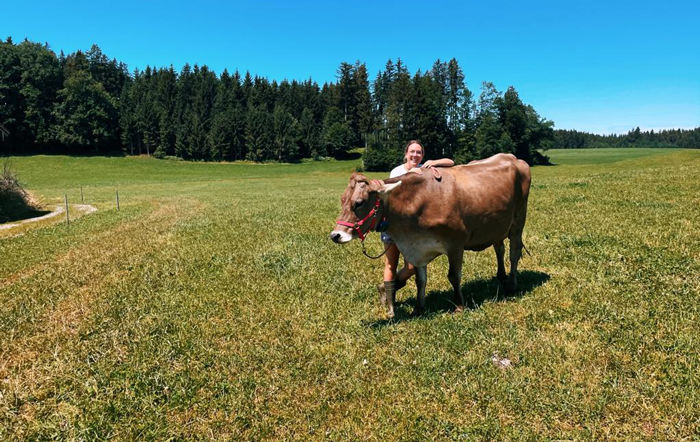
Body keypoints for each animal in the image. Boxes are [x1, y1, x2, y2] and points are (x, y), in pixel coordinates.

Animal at [330, 154, 532, 316]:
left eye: (359, 202)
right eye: (342, 200)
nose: (335, 235)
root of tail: (513, 157)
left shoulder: (456, 243)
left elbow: (454, 276)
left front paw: (459, 306)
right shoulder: (418, 247)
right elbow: (420, 280)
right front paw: (419, 308)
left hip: (518, 221)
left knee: (514, 253)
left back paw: (512, 285)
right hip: (497, 224)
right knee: (499, 248)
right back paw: (501, 276)